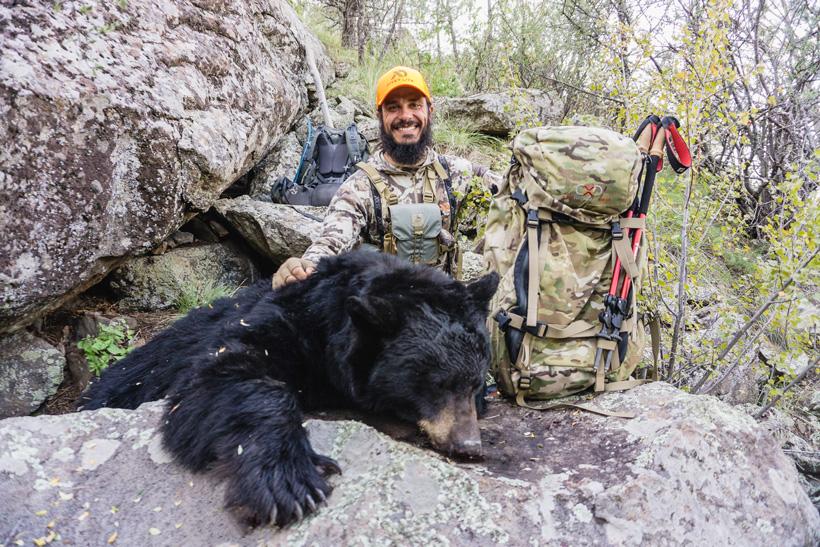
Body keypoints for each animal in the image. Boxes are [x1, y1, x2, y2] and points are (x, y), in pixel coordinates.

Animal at [80, 250, 499, 527]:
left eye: (475, 382)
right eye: (437, 384)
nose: (469, 446)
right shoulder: (291, 321)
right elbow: (227, 368)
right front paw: (290, 482)